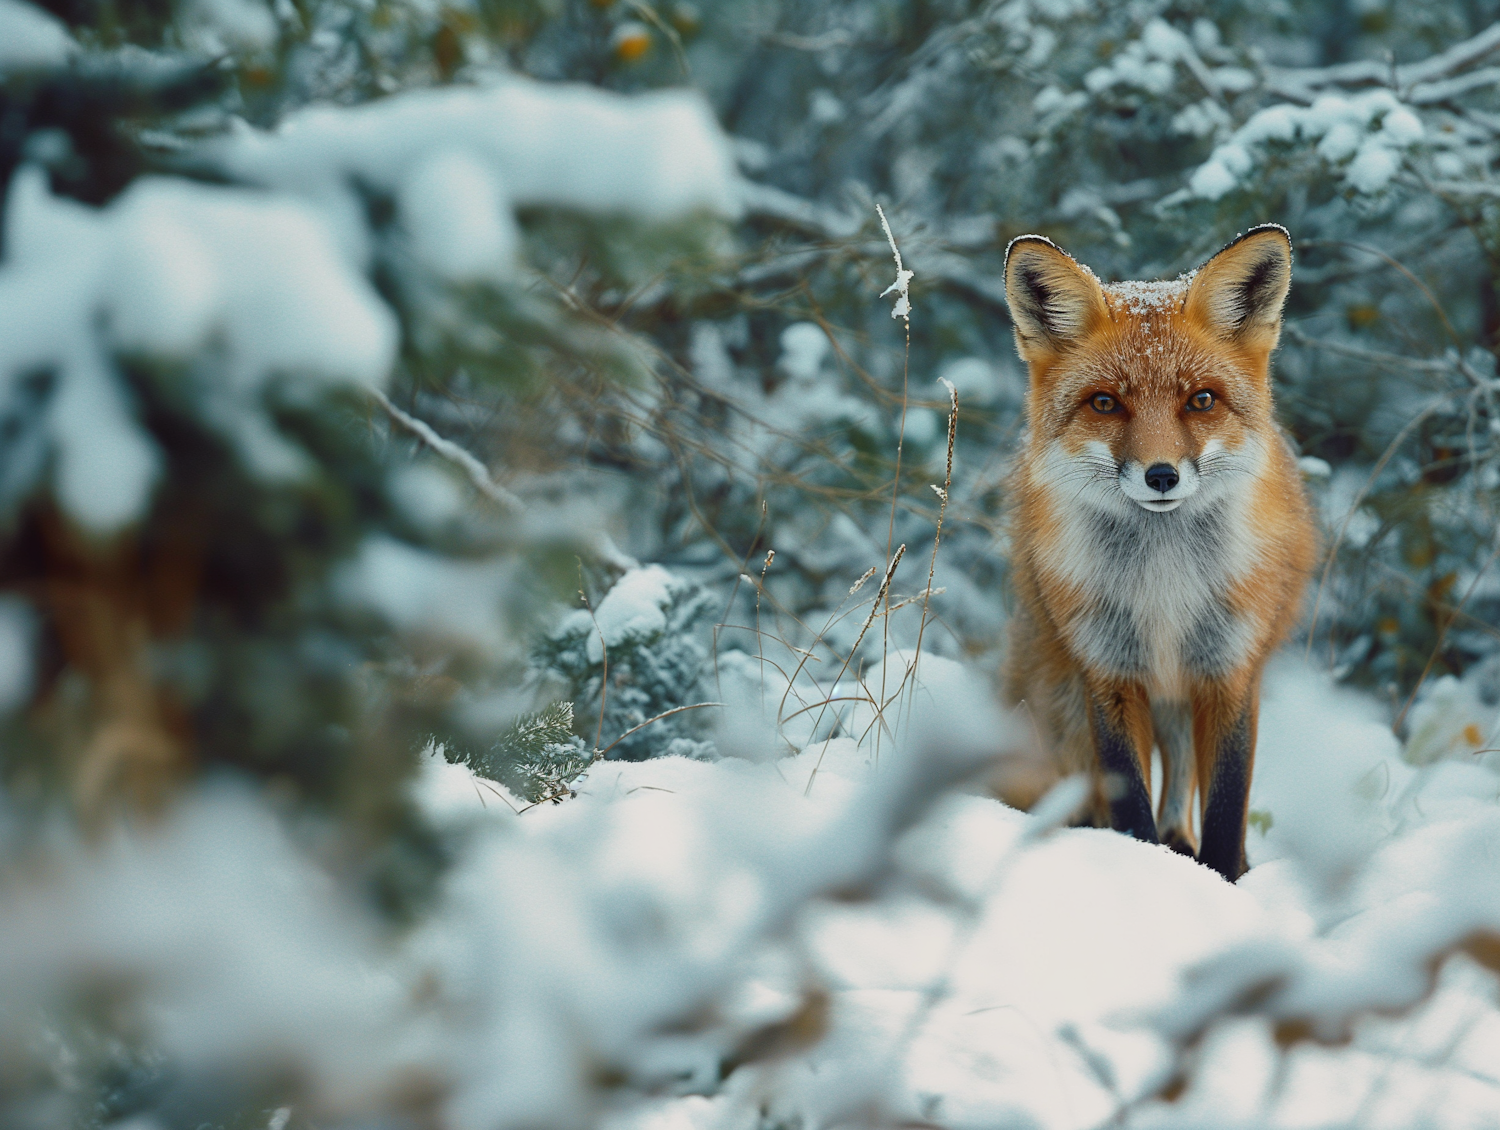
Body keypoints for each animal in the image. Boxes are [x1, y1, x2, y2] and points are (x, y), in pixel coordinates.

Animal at [1002, 226, 1320, 882]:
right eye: (1105, 403)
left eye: (1200, 400)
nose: (1162, 476)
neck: (1164, 588)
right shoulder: (1107, 674)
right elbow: (1130, 806)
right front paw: (1149, 877)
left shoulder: (1229, 672)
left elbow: (1225, 808)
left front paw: (1222, 883)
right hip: (1065, 702)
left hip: (1179, 698)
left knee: (1179, 783)